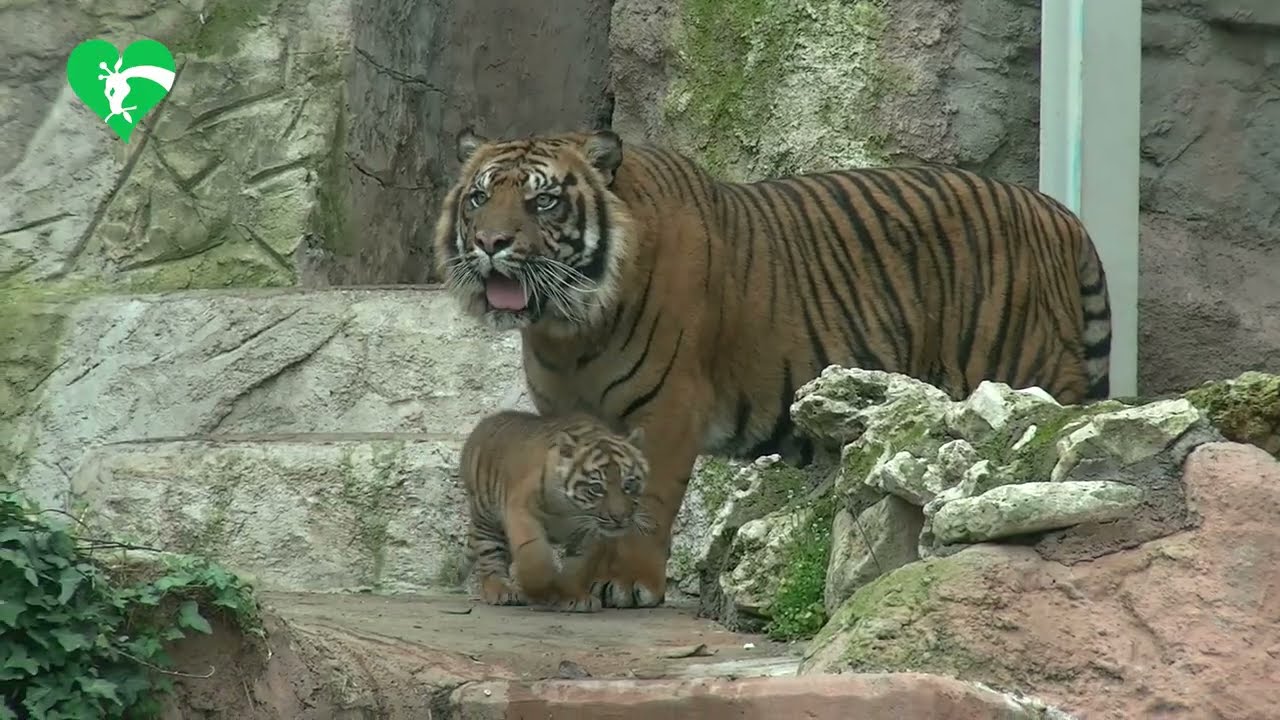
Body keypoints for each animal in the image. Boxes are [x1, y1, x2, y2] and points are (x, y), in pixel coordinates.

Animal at [459, 408, 653, 613]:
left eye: (629, 484)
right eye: (596, 488)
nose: (619, 517)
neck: (571, 509)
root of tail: (486, 421)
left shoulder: (587, 533)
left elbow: (577, 567)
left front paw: (574, 597)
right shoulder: (521, 510)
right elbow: (534, 556)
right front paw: (542, 590)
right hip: (486, 518)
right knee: (491, 557)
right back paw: (502, 590)